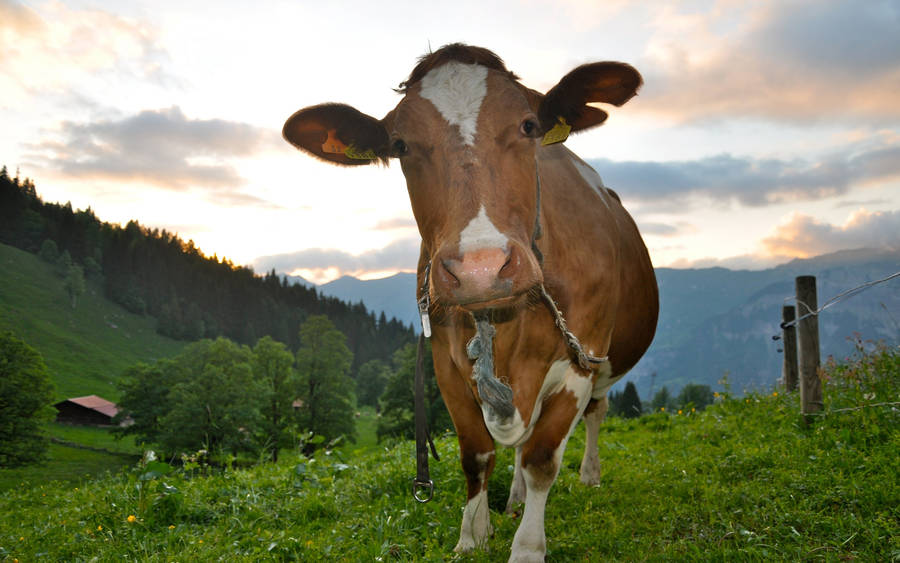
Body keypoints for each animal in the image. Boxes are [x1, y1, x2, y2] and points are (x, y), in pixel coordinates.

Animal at [283, 43, 658, 563]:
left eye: (529, 126)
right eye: (400, 145)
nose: (481, 268)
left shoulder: (580, 355)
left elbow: (543, 457)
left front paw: (527, 548)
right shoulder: (445, 362)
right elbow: (476, 454)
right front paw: (472, 535)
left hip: (603, 360)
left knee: (594, 415)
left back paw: (588, 476)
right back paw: (514, 500)